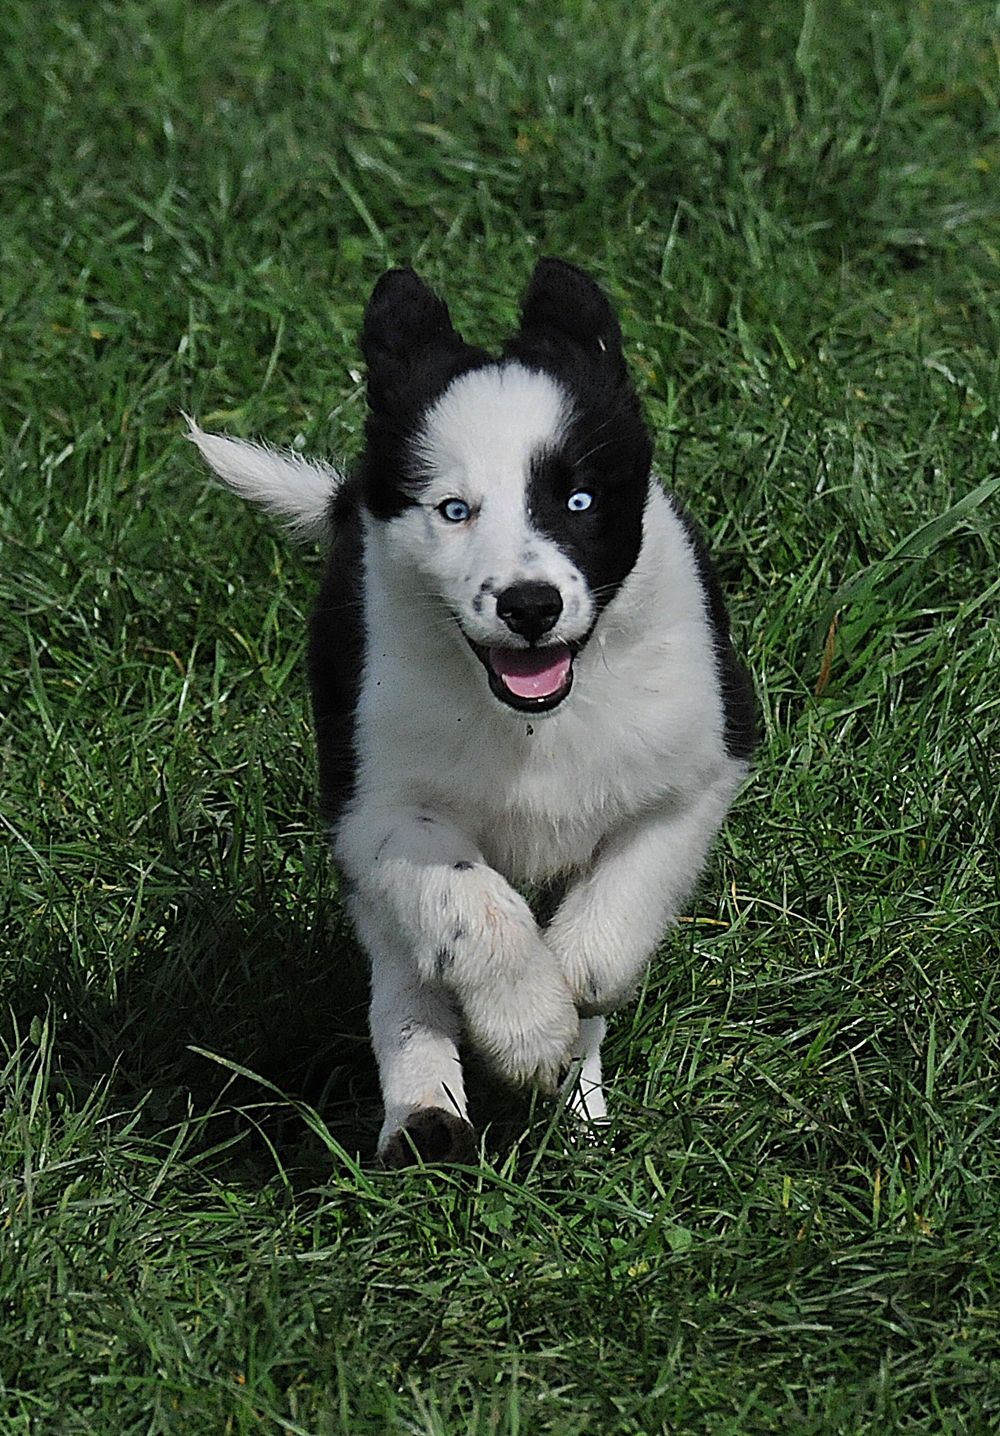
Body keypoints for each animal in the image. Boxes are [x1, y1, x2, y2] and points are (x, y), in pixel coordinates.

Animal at [189, 258, 755, 1166]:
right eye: (453, 510)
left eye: (581, 502)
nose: (529, 605)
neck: (538, 719)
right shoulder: (374, 807)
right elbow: (470, 906)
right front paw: (526, 1027)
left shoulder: (700, 769)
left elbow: (618, 914)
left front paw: (569, 1004)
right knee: (405, 978)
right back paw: (424, 1115)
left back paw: (578, 1115)